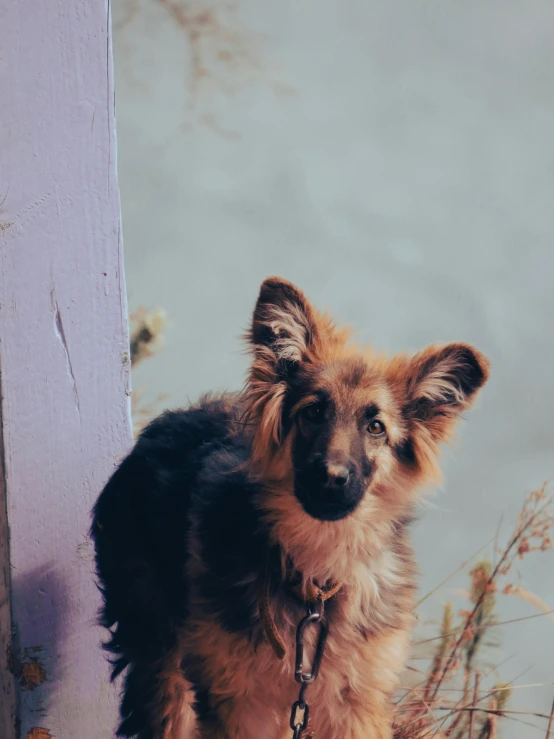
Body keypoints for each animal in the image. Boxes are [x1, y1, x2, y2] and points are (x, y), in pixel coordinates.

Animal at [90, 278, 488, 739]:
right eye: (314, 412)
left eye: (376, 428)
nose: (332, 478)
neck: (317, 580)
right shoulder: (238, 702)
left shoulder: (356, 702)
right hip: (160, 654)